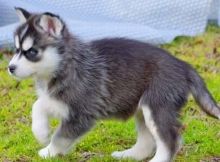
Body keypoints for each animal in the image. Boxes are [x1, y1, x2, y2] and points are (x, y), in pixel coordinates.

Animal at [7, 7, 219, 162]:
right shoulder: (58, 100)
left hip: (157, 106)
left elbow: (61, 136)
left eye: (31, 52)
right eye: (16, 50)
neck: (67, 64)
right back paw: (128, 155)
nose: (10, 68)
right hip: (142, 109)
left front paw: (48, 151)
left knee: (170, 139)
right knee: (147, 140)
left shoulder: (82, 114)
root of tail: (183, 65)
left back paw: (157, 159)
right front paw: (41, 132)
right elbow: (38, 105)